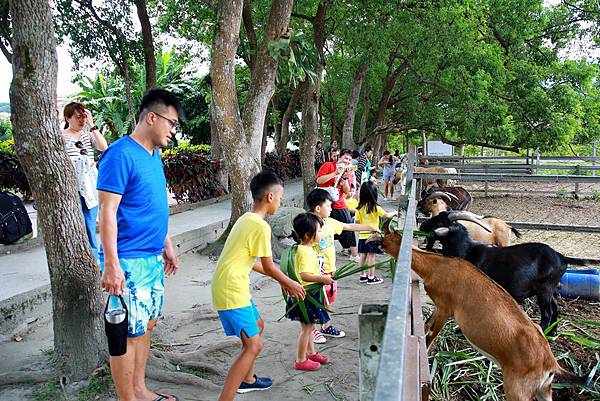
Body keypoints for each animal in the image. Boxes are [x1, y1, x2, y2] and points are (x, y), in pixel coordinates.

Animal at [434, 223, 592, 332]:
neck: (468, 251)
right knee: (555, 308)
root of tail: (561, 257)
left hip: (545, 288)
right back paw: (552, 333)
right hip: (551, 288)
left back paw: (543, 332)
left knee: (548, 313)